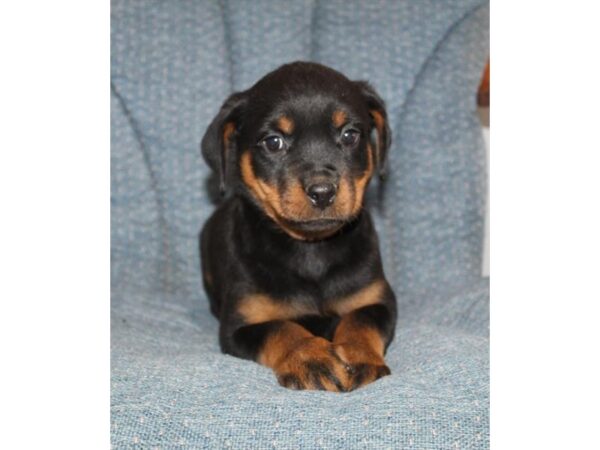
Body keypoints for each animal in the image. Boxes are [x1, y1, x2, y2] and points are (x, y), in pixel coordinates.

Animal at [200, 61, 398, 392]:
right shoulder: (242, 324)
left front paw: (358, 357)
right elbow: (283, 328)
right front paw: (313, 360)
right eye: (273, 142)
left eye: (350, 135)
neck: (310, 250)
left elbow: (359, 322)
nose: (323, 191)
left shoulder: (377, 300)